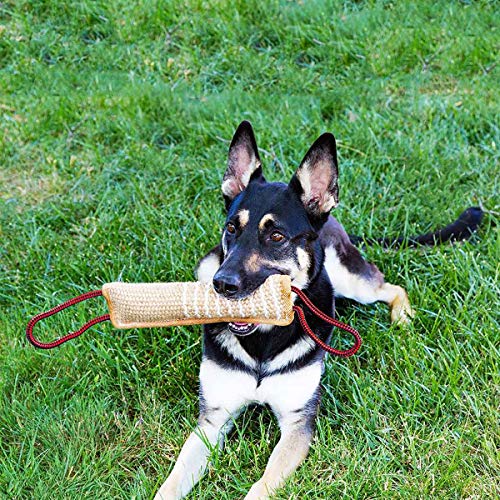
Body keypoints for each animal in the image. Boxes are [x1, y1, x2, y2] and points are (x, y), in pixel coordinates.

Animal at [155, 121, 484, 500]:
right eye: (232, 228)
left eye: (277, 237)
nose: (223, 286)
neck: (263, 341)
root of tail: (330, 220)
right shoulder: (212, 420)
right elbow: (172, 481)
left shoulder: (298, 424)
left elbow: (261, 485)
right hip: (207, 266)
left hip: (349, 279)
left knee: (388, 285)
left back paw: (402, 318)